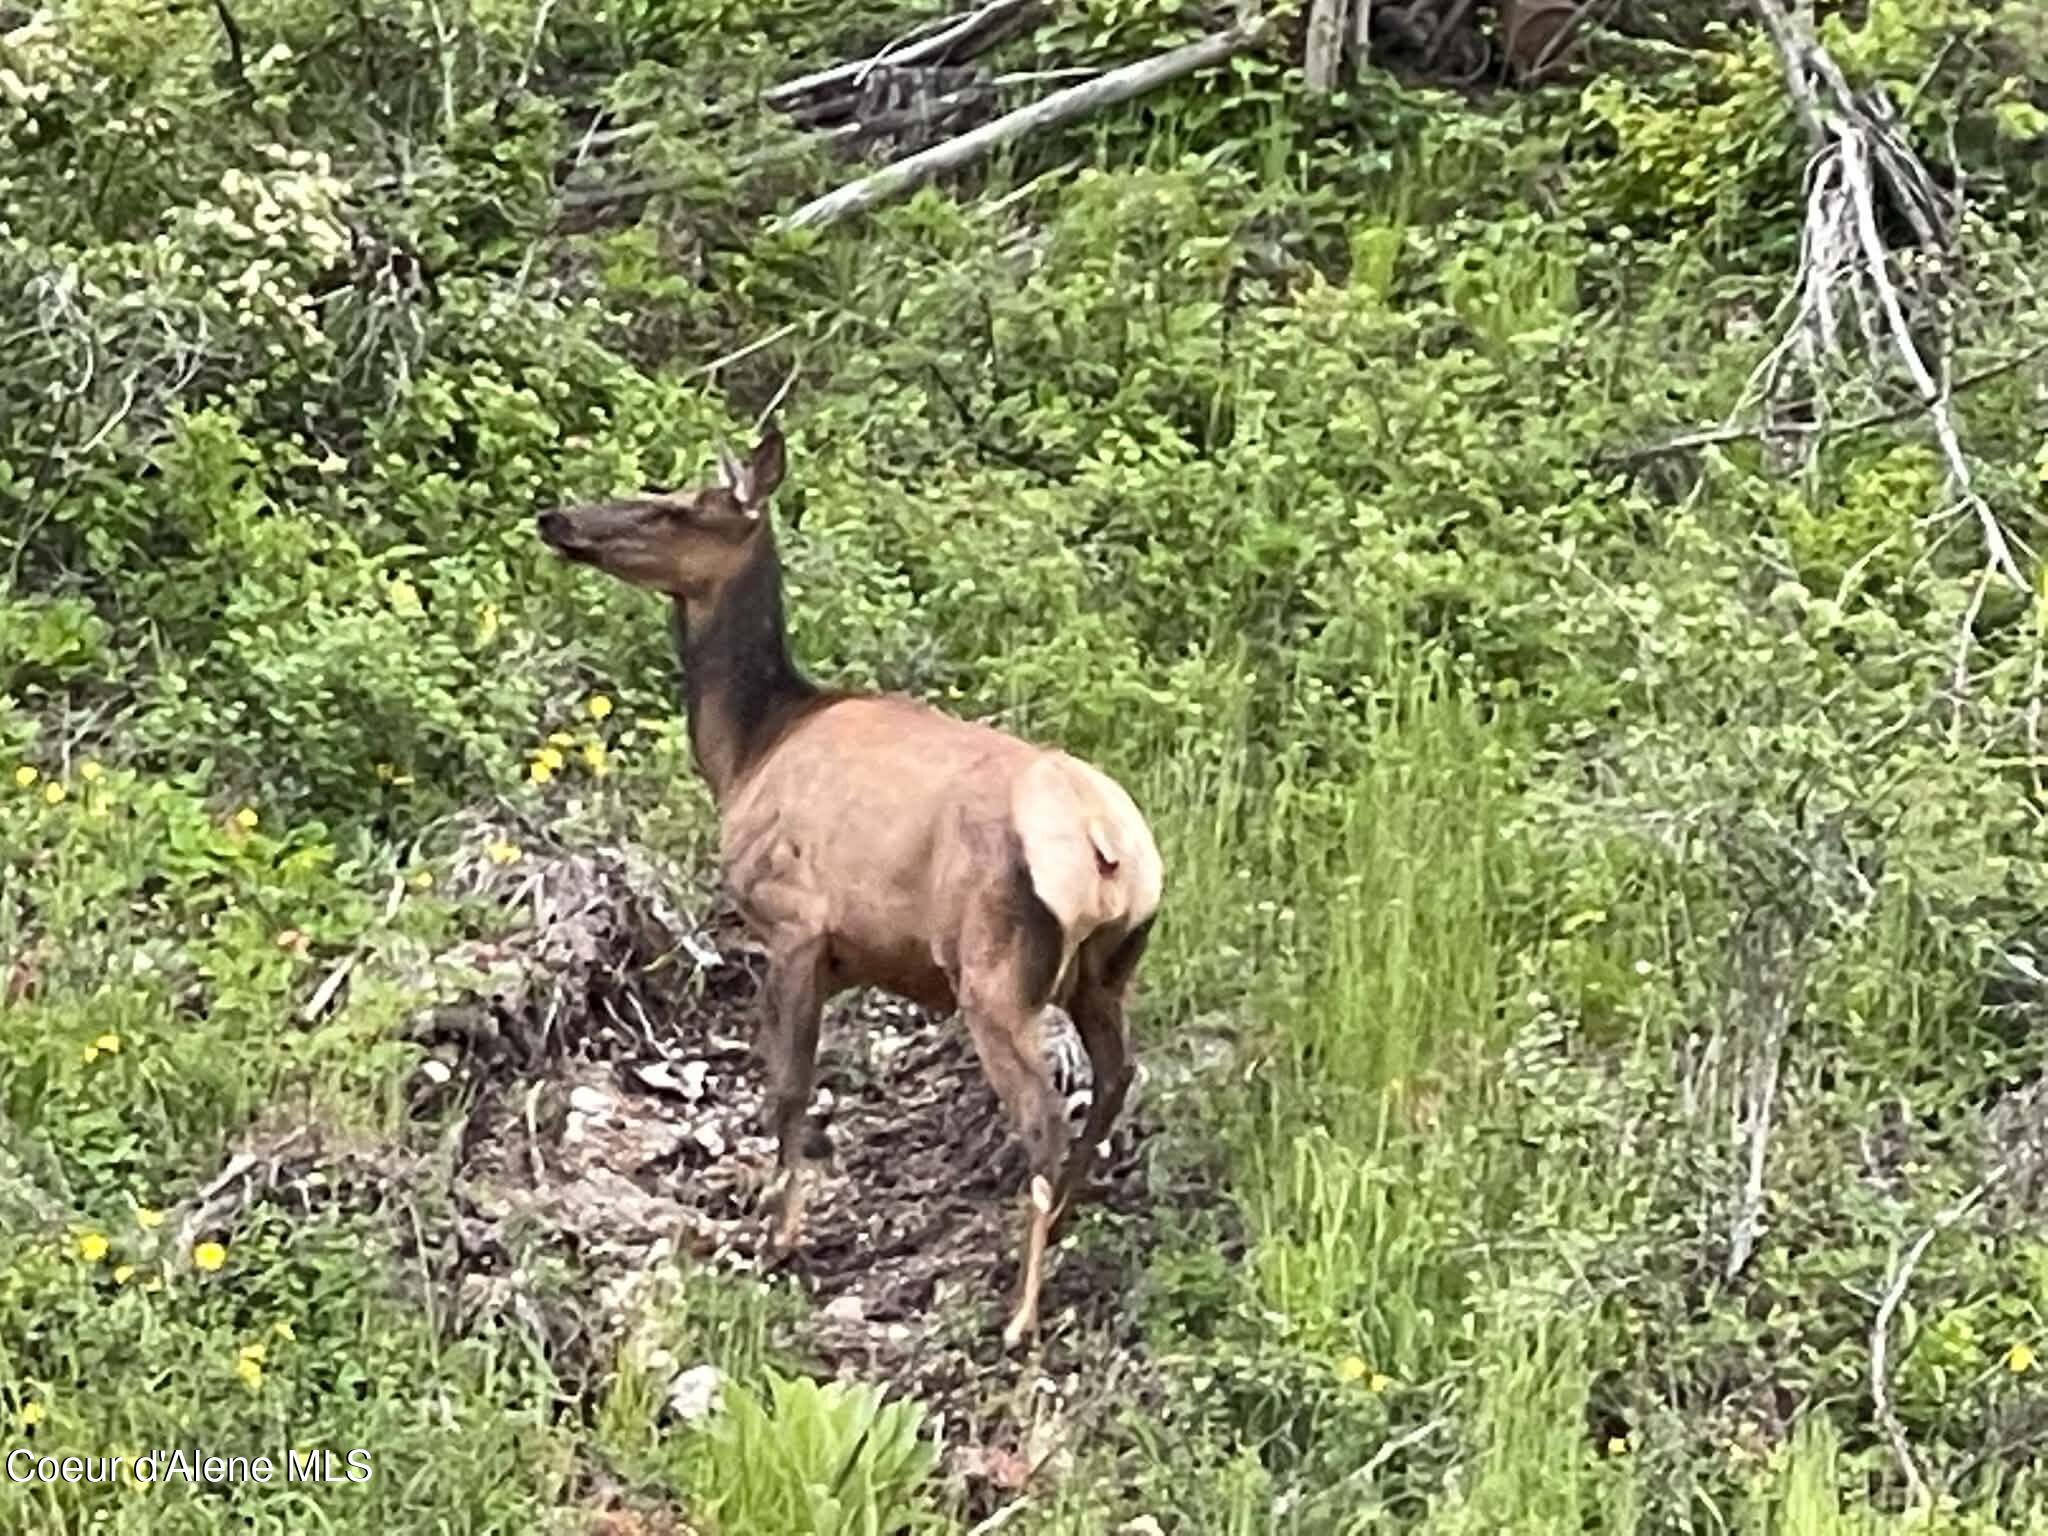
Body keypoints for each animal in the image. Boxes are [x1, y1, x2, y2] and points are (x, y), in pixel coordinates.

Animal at [534, 422, 1164, 1349]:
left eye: (674, 506)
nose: (558, 518)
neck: (747, 751)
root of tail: (1106, 847)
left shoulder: (793, 926)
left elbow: (788, 1088)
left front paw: (779, 1236)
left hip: (994, 972)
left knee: (1044, 1118)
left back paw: (1019, 1315)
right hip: (1104, 973)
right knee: (1116, 1081)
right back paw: (1059, 1231)